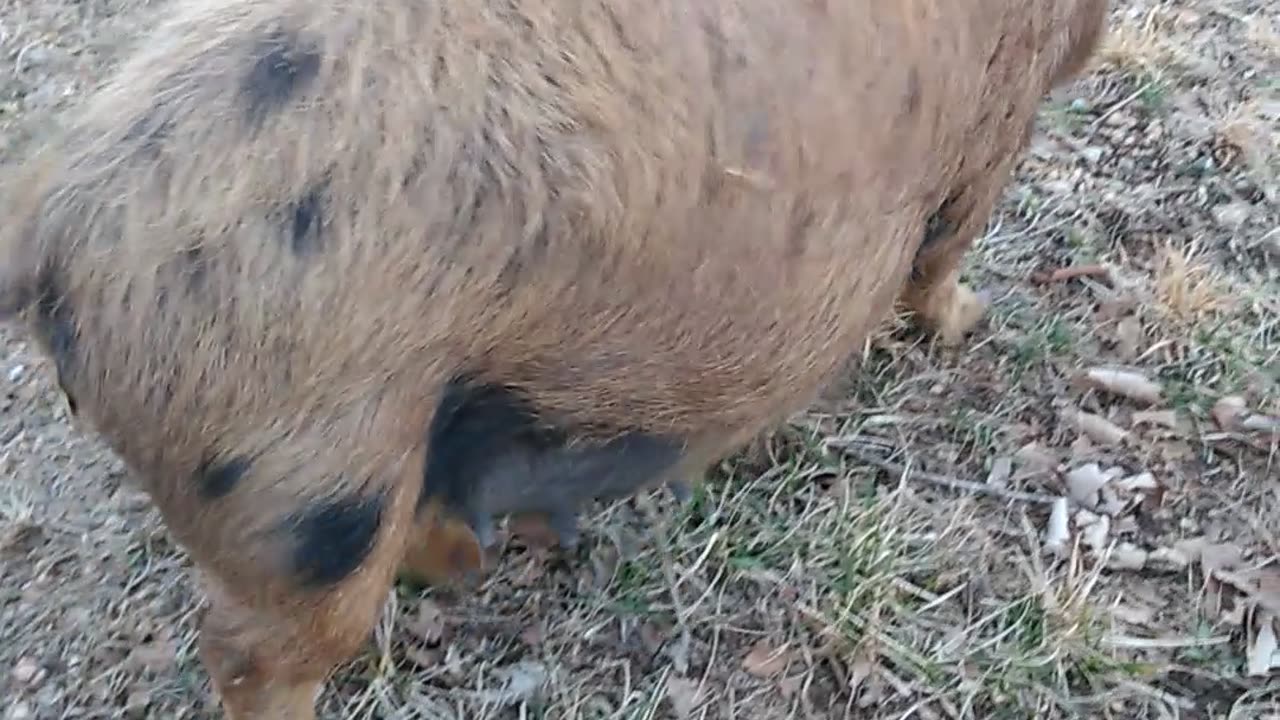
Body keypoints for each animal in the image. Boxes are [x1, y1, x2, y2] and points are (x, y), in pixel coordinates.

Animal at [0, 0, 1105, 712]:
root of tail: (53, 214)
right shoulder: (989, 131)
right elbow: (944, 244)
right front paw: (968, 320)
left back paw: (480, 558)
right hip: (298, 478)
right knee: (255, 653)